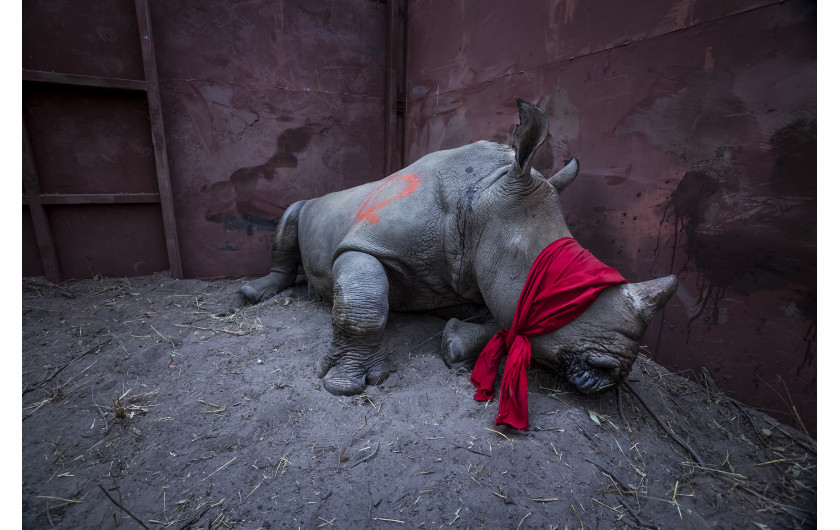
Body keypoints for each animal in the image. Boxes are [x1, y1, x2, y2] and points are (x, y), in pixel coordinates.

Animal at [236, 99, 676, 404]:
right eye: (560, 287)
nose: (613, 370)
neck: (483, 199)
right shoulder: (366, 244)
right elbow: (364, 304)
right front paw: (344, 384)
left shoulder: (481, 273)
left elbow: (501, 321)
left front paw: (453, 344)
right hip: (310, 204)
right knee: (290, 215)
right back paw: (252, 294)